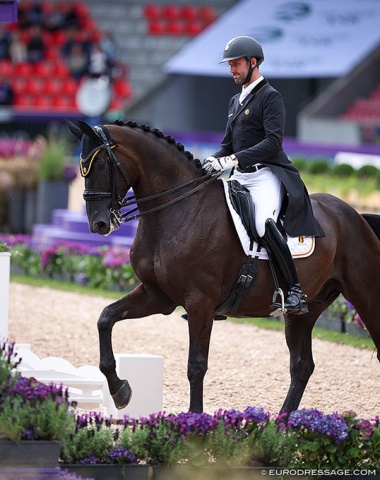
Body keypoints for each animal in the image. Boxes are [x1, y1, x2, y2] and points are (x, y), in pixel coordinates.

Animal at [68, 119, 380, 412]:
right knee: (302, 365)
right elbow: (106, 317)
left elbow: (196, 365)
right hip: (306, 310)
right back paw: (281, 423)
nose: (98, 224)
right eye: (82, 168)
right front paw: (120, 390)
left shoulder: (200, 302)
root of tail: (354, 215)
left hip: (365, 295)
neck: (180, 209)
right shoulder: (157, 295)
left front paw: (194, 421)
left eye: (101, 164)